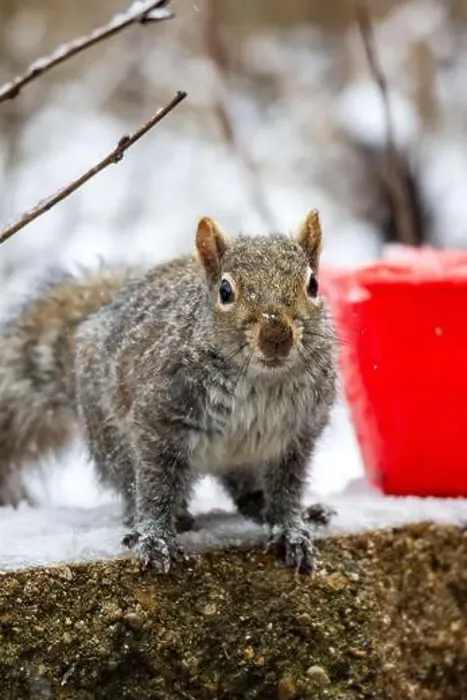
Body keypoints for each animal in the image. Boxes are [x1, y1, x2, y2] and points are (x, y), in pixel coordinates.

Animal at [0, 210, 337, 573]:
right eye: (225, 290)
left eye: (313, 285)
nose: (276, 336)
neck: (260, 381)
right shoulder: (159, 418)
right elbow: (155, 484)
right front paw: (154, 536)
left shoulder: (297, 436)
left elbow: (287, 487)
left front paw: (292, 529)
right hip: (111, 438)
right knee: (133, 485)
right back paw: (166, 517)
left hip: (247, 460)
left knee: (246, 492)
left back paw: (280, 508)